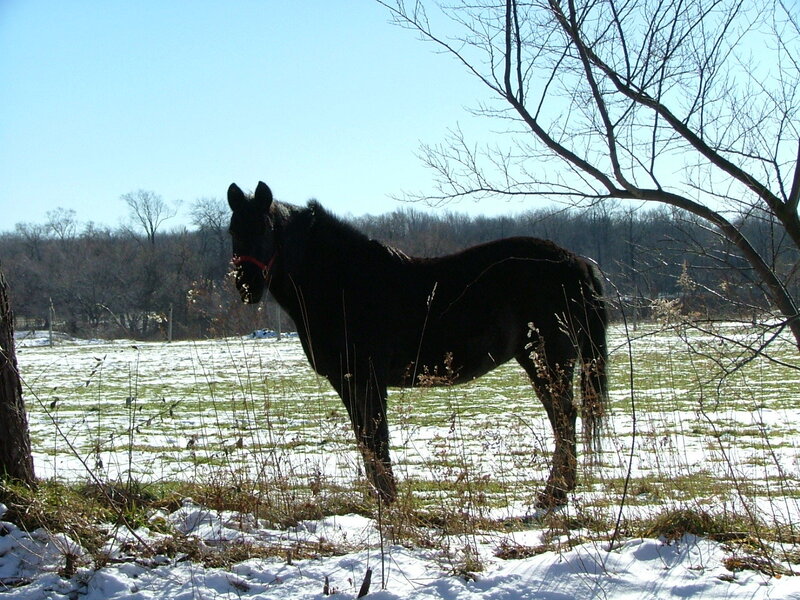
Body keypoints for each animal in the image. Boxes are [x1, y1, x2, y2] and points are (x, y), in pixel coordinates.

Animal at [227, 181, 608, 508]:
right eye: (233, 230)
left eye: (265, 228)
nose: (247, 286)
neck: (343, 283)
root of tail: (576, 262)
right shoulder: (346, 381)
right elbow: (365, 439)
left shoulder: (368, 378)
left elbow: (376, 438)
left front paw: (389, 501)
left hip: (548, 359)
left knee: (564, 417)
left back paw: (553, 495)